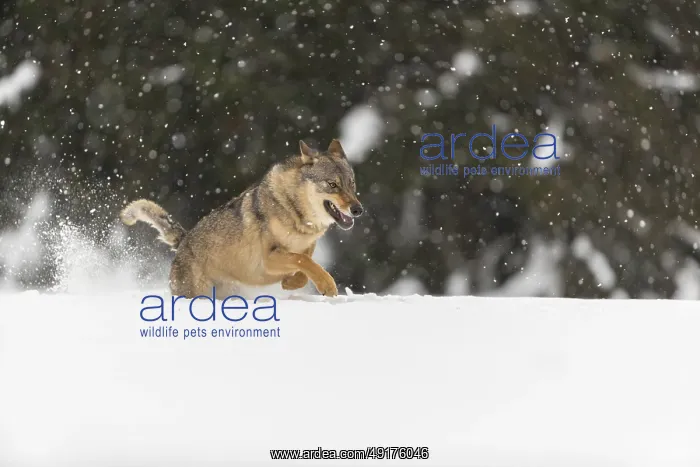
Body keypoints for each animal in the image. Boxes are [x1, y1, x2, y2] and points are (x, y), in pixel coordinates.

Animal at [120, 139, 363, 299]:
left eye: (351, 183)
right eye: (332, 184)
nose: (358, 210)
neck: (296, 215)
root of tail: (183, 242)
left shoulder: (306, 247)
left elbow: (306, 264)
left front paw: (291, 283)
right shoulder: (269, 258)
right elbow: (304, 261)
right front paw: (328, 285)